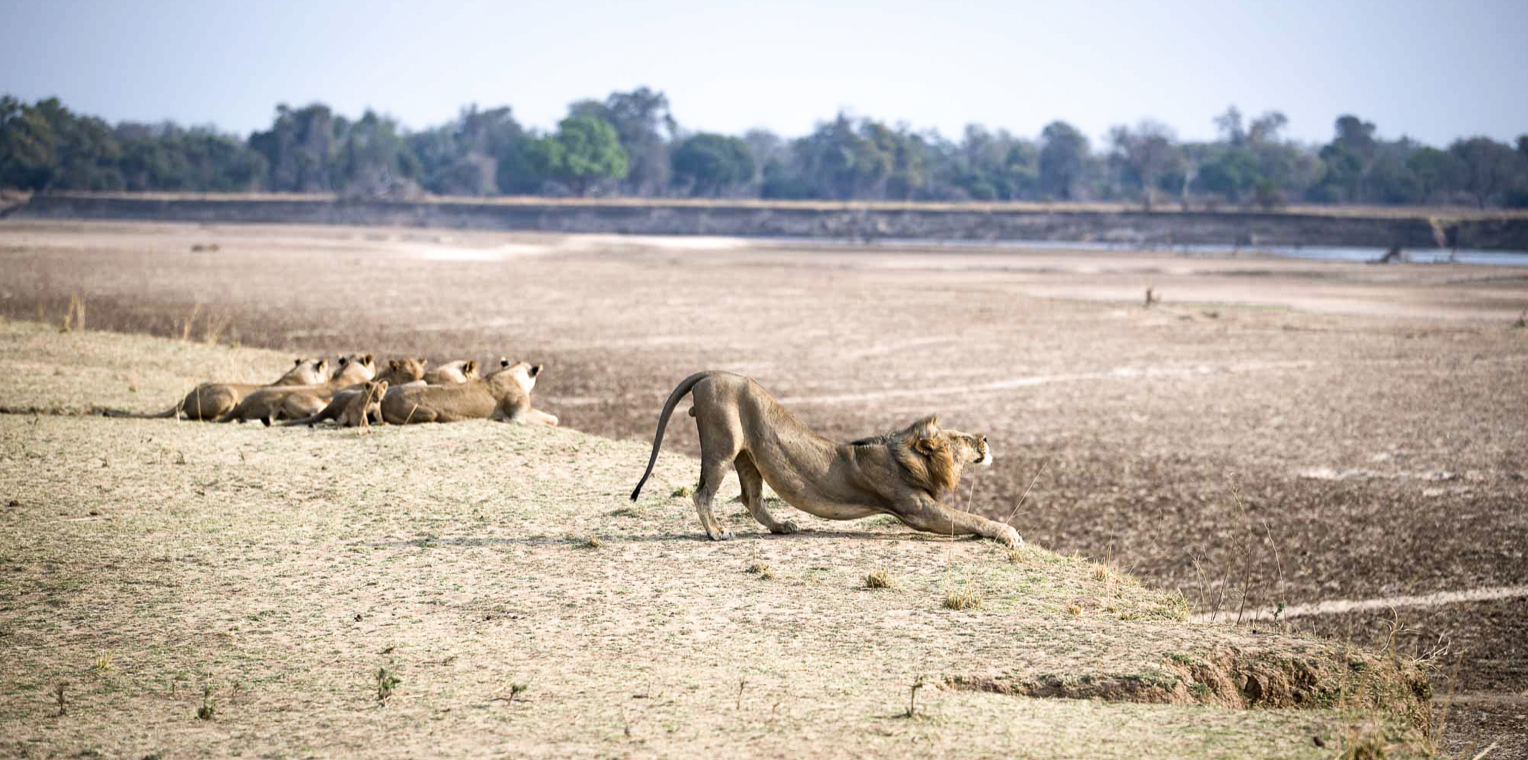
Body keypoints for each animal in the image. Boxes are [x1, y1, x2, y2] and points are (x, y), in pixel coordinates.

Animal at [630, 371, 1020, 546]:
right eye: (960, 438)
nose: (985, 438)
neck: (904, 453)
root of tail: (710, 373)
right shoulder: (916, 509)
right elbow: (970, 518)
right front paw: (1009, 533)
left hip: (748, 455)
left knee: (751, 499)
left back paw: (781, 526)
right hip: (722, 445)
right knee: (702, 493)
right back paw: (715, 532)